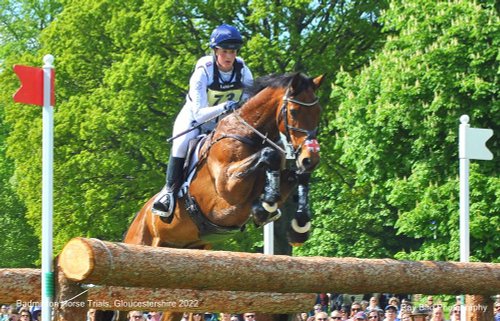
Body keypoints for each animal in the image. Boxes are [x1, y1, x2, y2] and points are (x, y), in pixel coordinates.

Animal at [120, 72, 324, 320]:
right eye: (293, 111)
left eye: (318, 112)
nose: (310, 158)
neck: (249, 135)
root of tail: (137, 220)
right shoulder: (228, 188)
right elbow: (269, 155)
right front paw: (266, 206)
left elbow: (296, 177)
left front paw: (298, 224)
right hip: (142, 246)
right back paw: (164, 202)